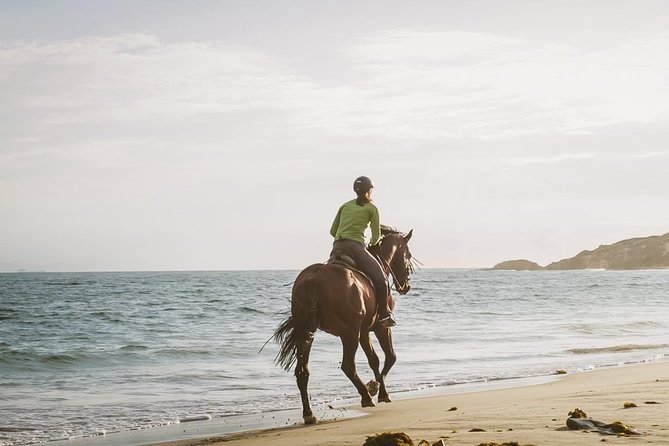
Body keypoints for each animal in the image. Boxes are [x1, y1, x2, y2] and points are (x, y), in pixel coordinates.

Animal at [272, 226, 412, 426]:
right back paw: (366, 397)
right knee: (348, 366)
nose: (406, 286)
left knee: (302, 372)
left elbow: (374, 360)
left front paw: (376, 387)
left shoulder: (364, 332)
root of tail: (313, 279)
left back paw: (309, 414)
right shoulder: (380, 328)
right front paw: (379, 390)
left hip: (307, 332)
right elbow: (390, 357)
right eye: (408, 254)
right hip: (349, 334)